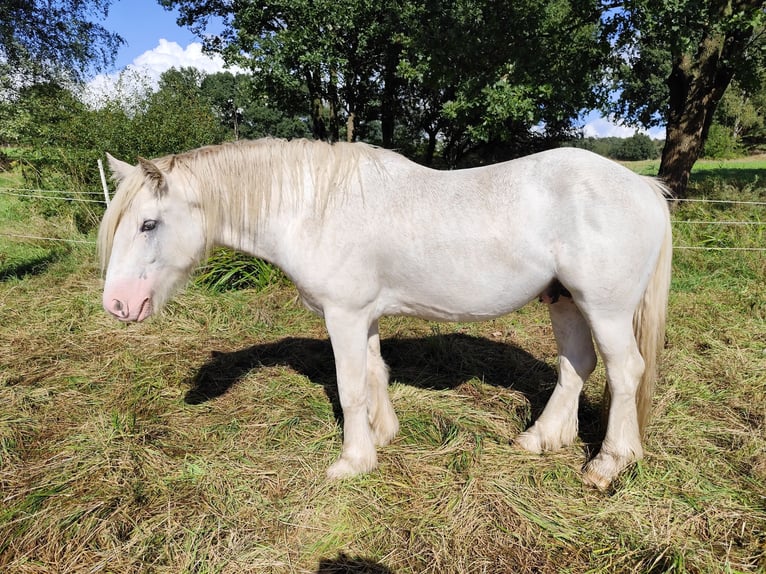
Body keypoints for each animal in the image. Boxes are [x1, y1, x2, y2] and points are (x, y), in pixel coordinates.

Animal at [100, 140, 672, 490]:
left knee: (625, 373)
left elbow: (350, 386)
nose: (117, 305)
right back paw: (539, 439)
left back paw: (607, 464)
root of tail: (643, 187)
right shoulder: (365, 316)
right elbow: (375, 372)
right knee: (576, 366)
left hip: (605, 309)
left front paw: (352, 462)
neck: (315, 207)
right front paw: (382, 437)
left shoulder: (344, 315)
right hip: (565, 300)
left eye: (148, 224)